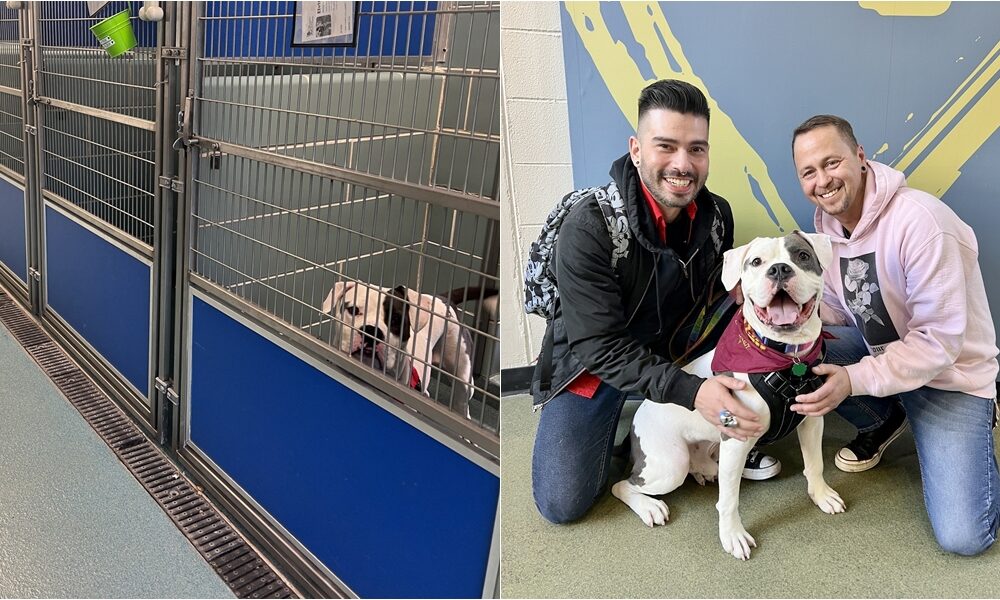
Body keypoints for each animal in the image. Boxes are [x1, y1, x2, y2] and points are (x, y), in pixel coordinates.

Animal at [612, 232, 840, 560]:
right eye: (756, 262)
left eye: (802, 256)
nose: (779, 270)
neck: (786, 358)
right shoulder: (736, 439)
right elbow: (729, 500)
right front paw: (732, 536)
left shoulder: (811, 419)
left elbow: (816, 463)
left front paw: (821, 495)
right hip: (671, 464)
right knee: (622, 485)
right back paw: (649, 506)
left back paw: (705, 470)